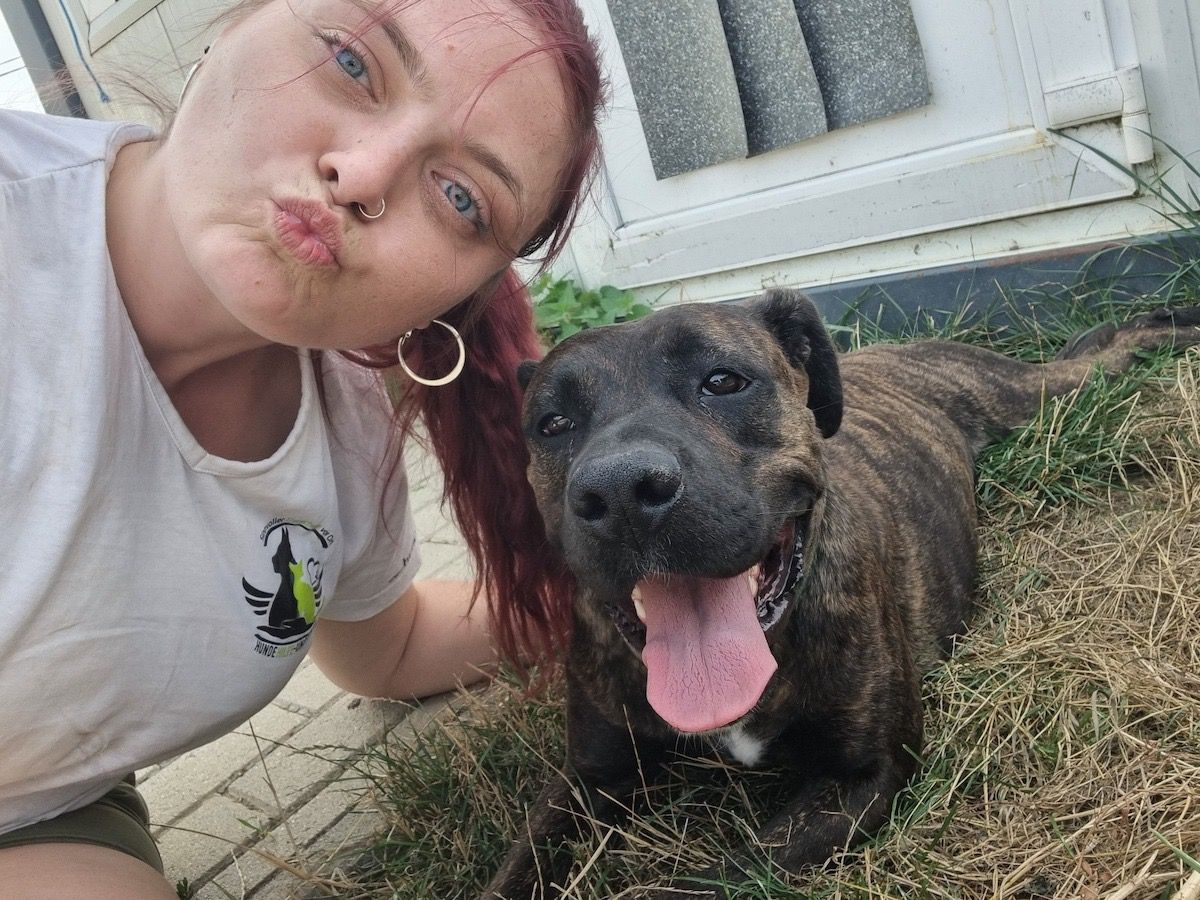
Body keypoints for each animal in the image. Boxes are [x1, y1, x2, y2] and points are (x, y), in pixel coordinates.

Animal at [482, 290, 1200, 899]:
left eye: (723, 380)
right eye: (552, 423)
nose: (622, 490)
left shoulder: (860, 776)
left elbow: (702, 885)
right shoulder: (588, 779)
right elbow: (514, 870)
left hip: (1032, 393)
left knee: (1100, 355)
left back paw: (1172, 325)